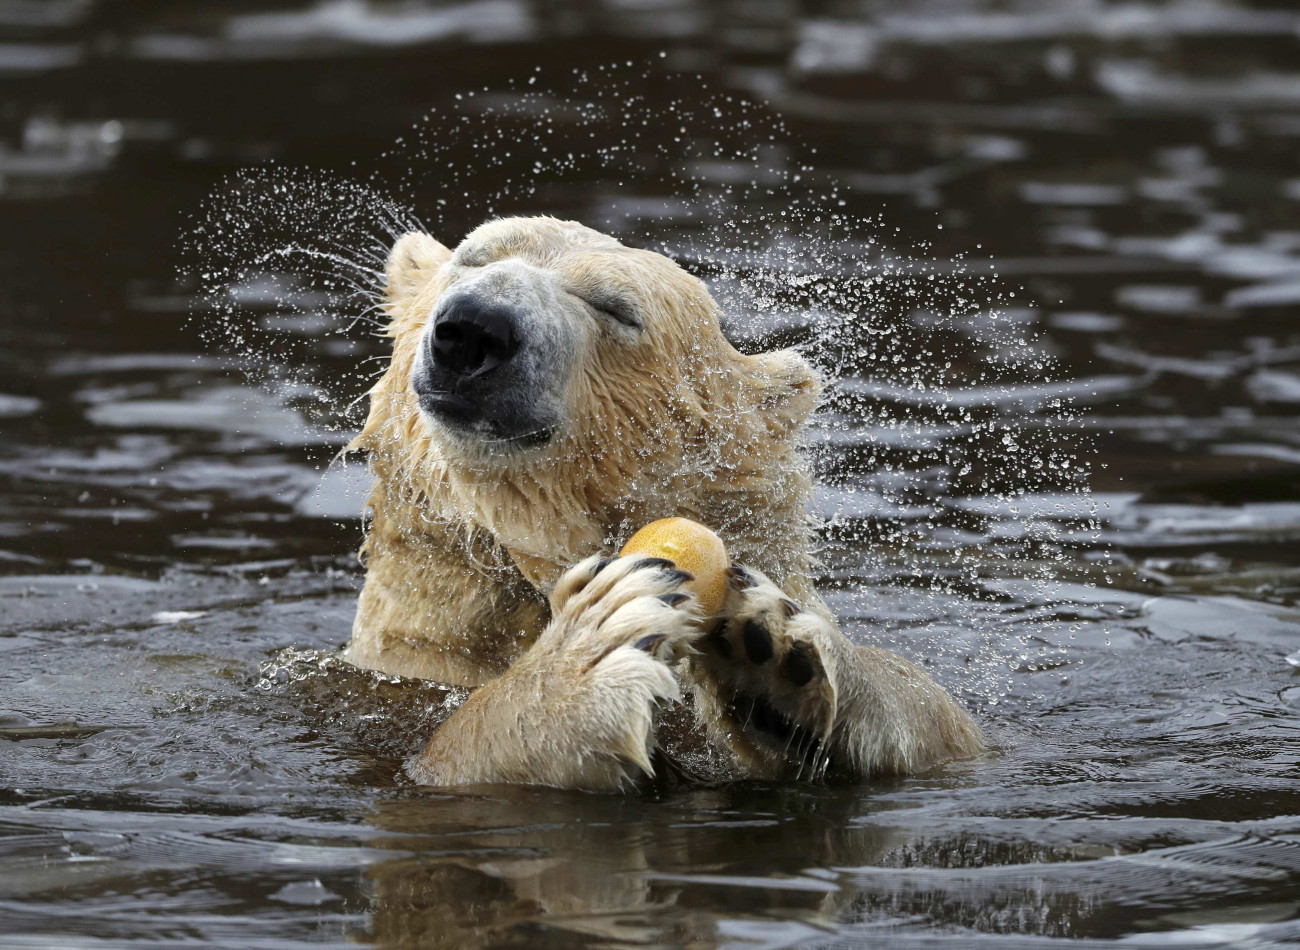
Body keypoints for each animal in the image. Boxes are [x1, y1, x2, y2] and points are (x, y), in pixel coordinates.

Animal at [345, 219, 982, 790]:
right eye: (472, 258)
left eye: (616, 308)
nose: (474, 328)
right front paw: (583, 656)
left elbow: (953, 728)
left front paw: (778, 649)